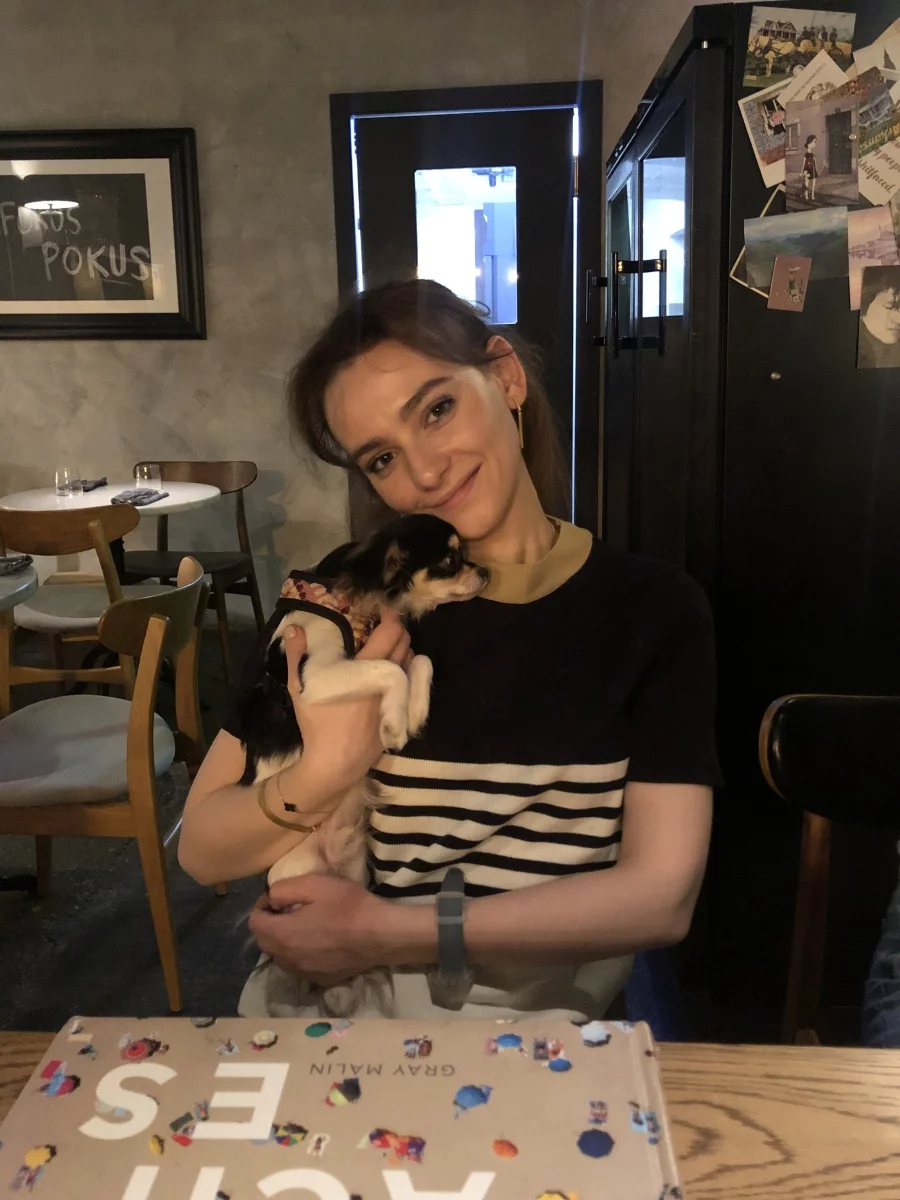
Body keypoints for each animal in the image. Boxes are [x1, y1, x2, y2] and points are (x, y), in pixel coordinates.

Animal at [232, 513, 488, 1017]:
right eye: (451, 560)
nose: (486, 571)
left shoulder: (401, 655)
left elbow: (419, 661)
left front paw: (409, 715)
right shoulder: (314, 680)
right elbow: (389, 670)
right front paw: (392, 722)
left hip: (352, 876)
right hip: (296, 878)